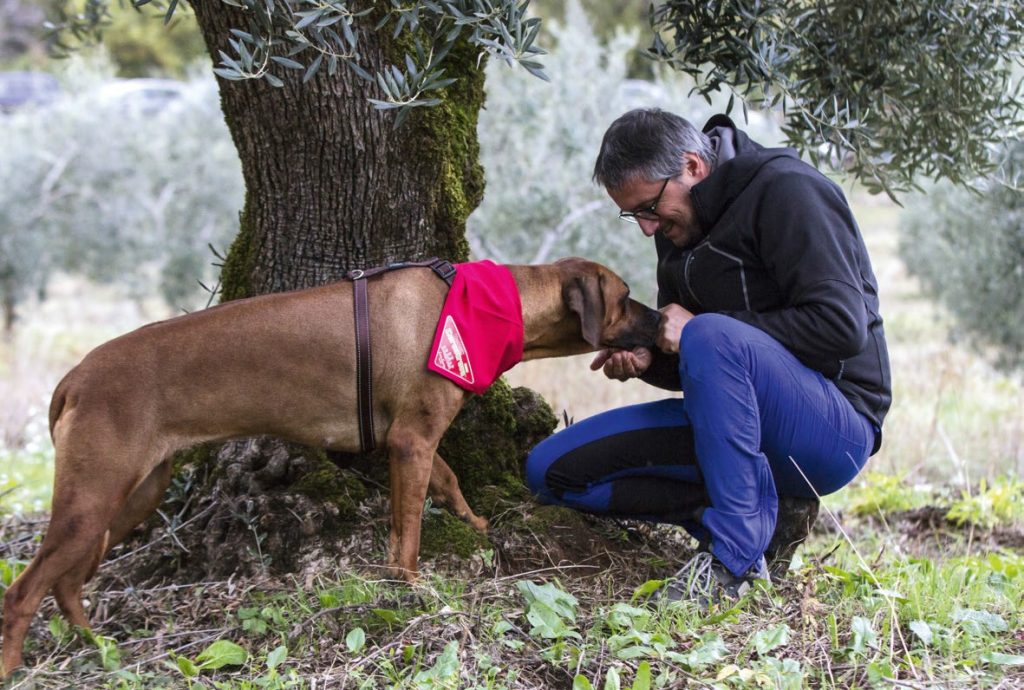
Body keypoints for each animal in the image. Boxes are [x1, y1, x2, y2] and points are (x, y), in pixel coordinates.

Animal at [0, 256, 659, 671]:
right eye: (626, 298)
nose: (661, 319)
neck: (485, 304)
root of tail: (74, 377)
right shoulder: (412, 441)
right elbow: (408, 530)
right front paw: (411, 586)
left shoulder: (413, 440)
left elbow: (446, 481)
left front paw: (472, 522)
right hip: (92, 499)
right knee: (24, 592)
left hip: (134, 495)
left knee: (66, 582)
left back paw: (95, 643)